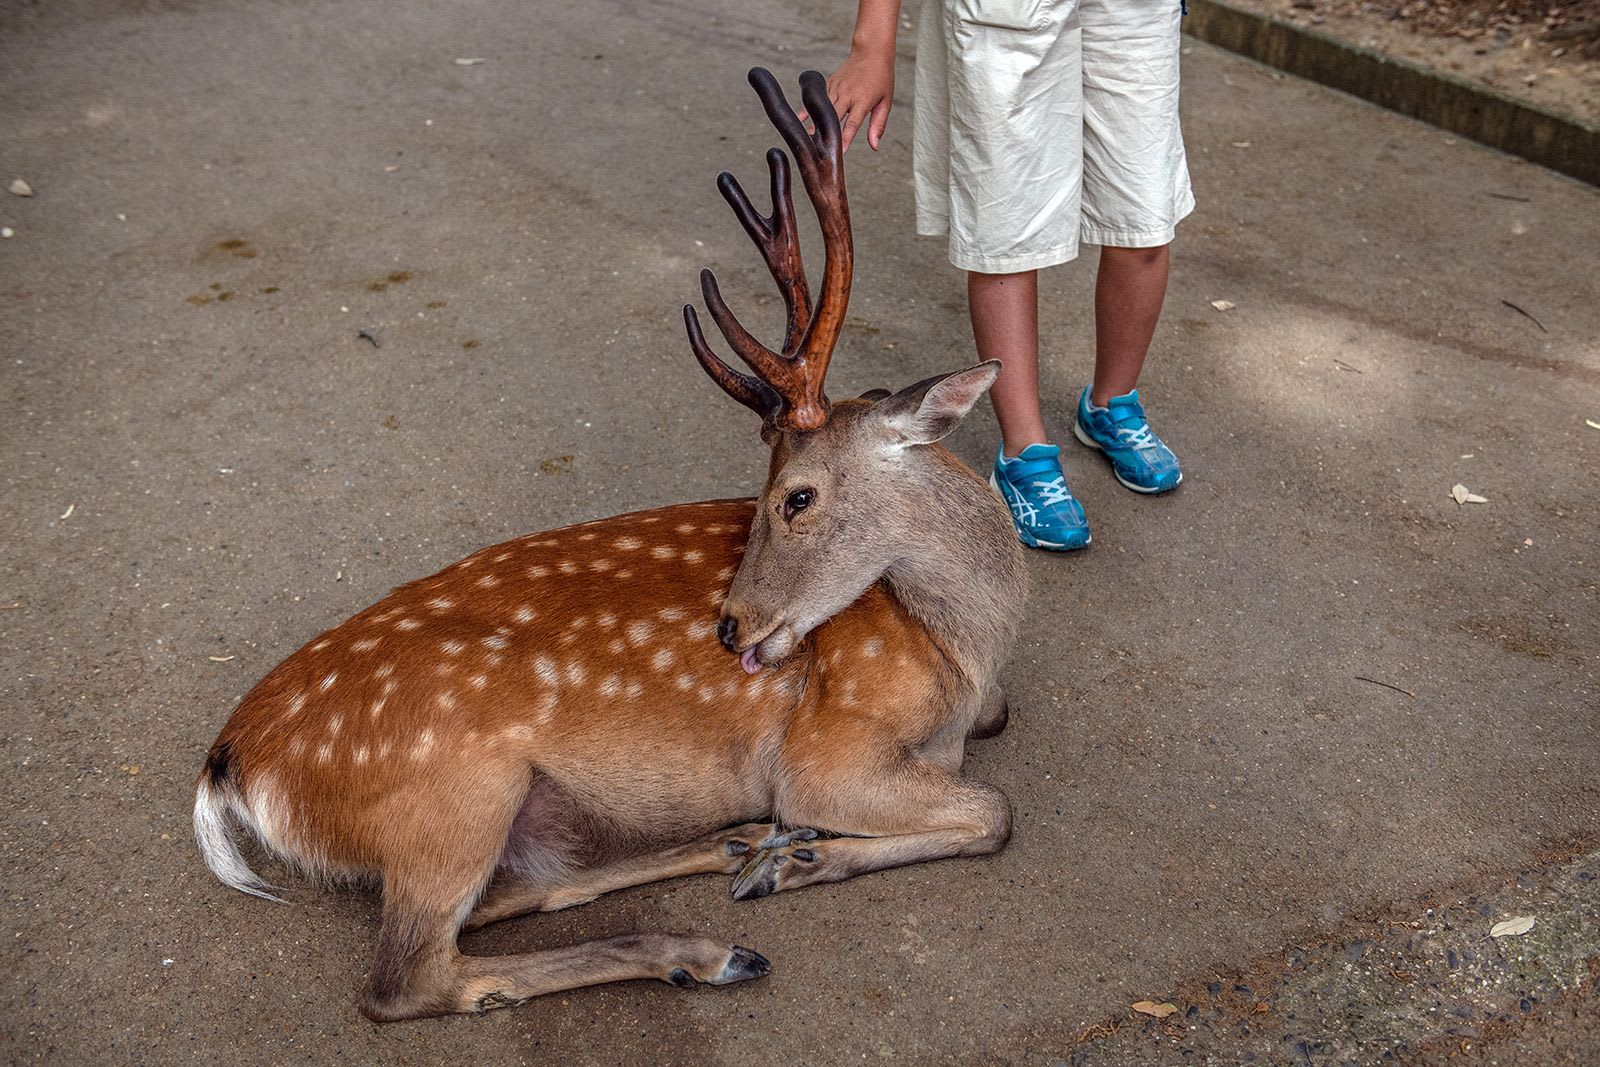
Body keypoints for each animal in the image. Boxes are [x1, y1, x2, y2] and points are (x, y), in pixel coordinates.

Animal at [193, 64, 1030, 1017]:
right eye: (772, 490)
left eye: (796, 495)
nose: (730, 627)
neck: (965, 653)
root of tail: (232, 761)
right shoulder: (826, 747)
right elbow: (995, 812)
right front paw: (803, 857)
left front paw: (788, 852)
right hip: (453, 789)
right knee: (408, 978)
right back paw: (709, 943)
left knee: (514, 894)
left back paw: (737, 846)